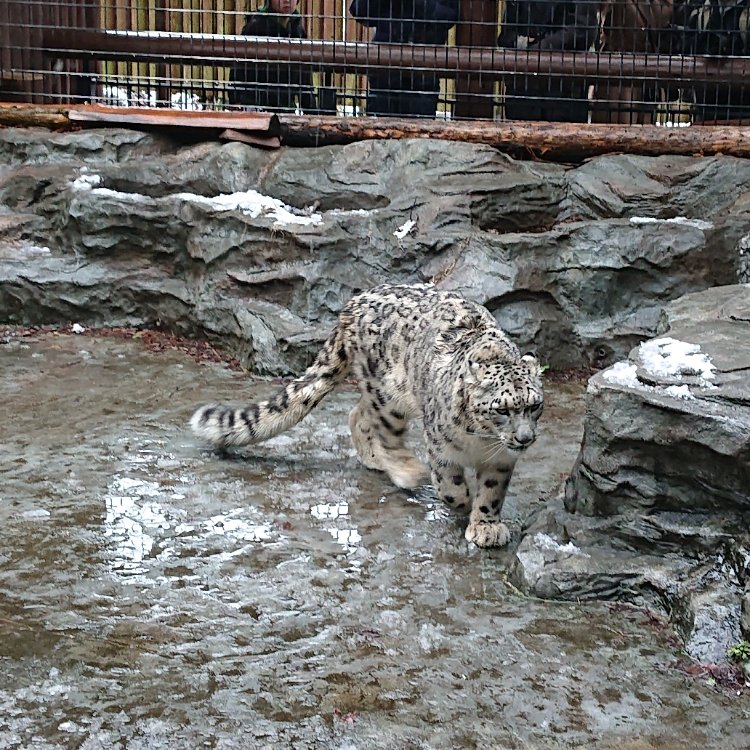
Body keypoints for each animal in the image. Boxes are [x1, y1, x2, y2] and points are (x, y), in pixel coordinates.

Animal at [192, 284, 548, 548]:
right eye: (502, 409)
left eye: (534, 405)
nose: (524, 438)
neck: (483, 441)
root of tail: (354, 302)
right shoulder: (441, 446)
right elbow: (450, 486)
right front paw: (464, 502)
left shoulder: (501, 460)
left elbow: (492, 492)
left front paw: (487, 525)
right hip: (388, 392)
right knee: (381, 426)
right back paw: (403, 469)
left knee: (358, 413)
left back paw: (376, 458)